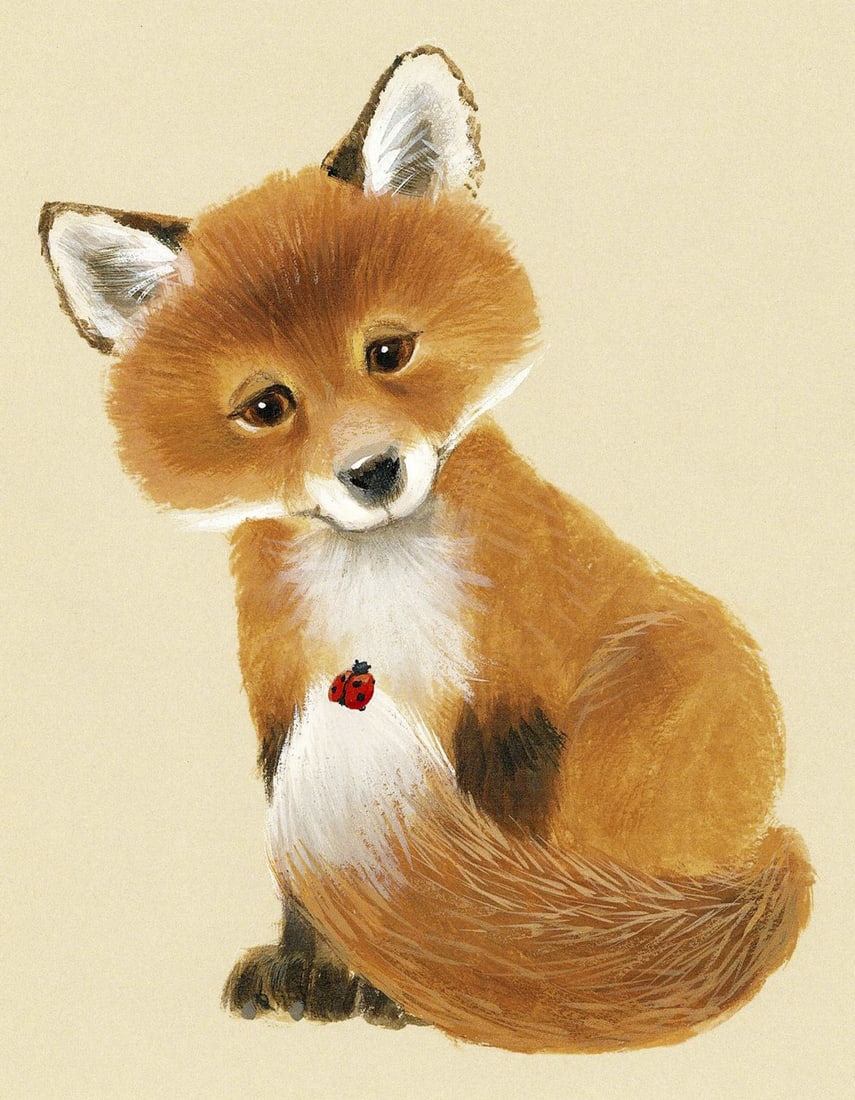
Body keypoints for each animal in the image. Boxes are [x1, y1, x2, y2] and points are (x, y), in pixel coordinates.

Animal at [40, 46, 811, 1054]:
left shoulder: (514, 696)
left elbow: (503, 902)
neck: (379, 605)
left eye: (388, 352)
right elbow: (305, 891)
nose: (373, 471)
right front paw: (312, 973)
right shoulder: (285, 699)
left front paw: (409, 991)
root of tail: (769, 855)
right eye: (267, 406)